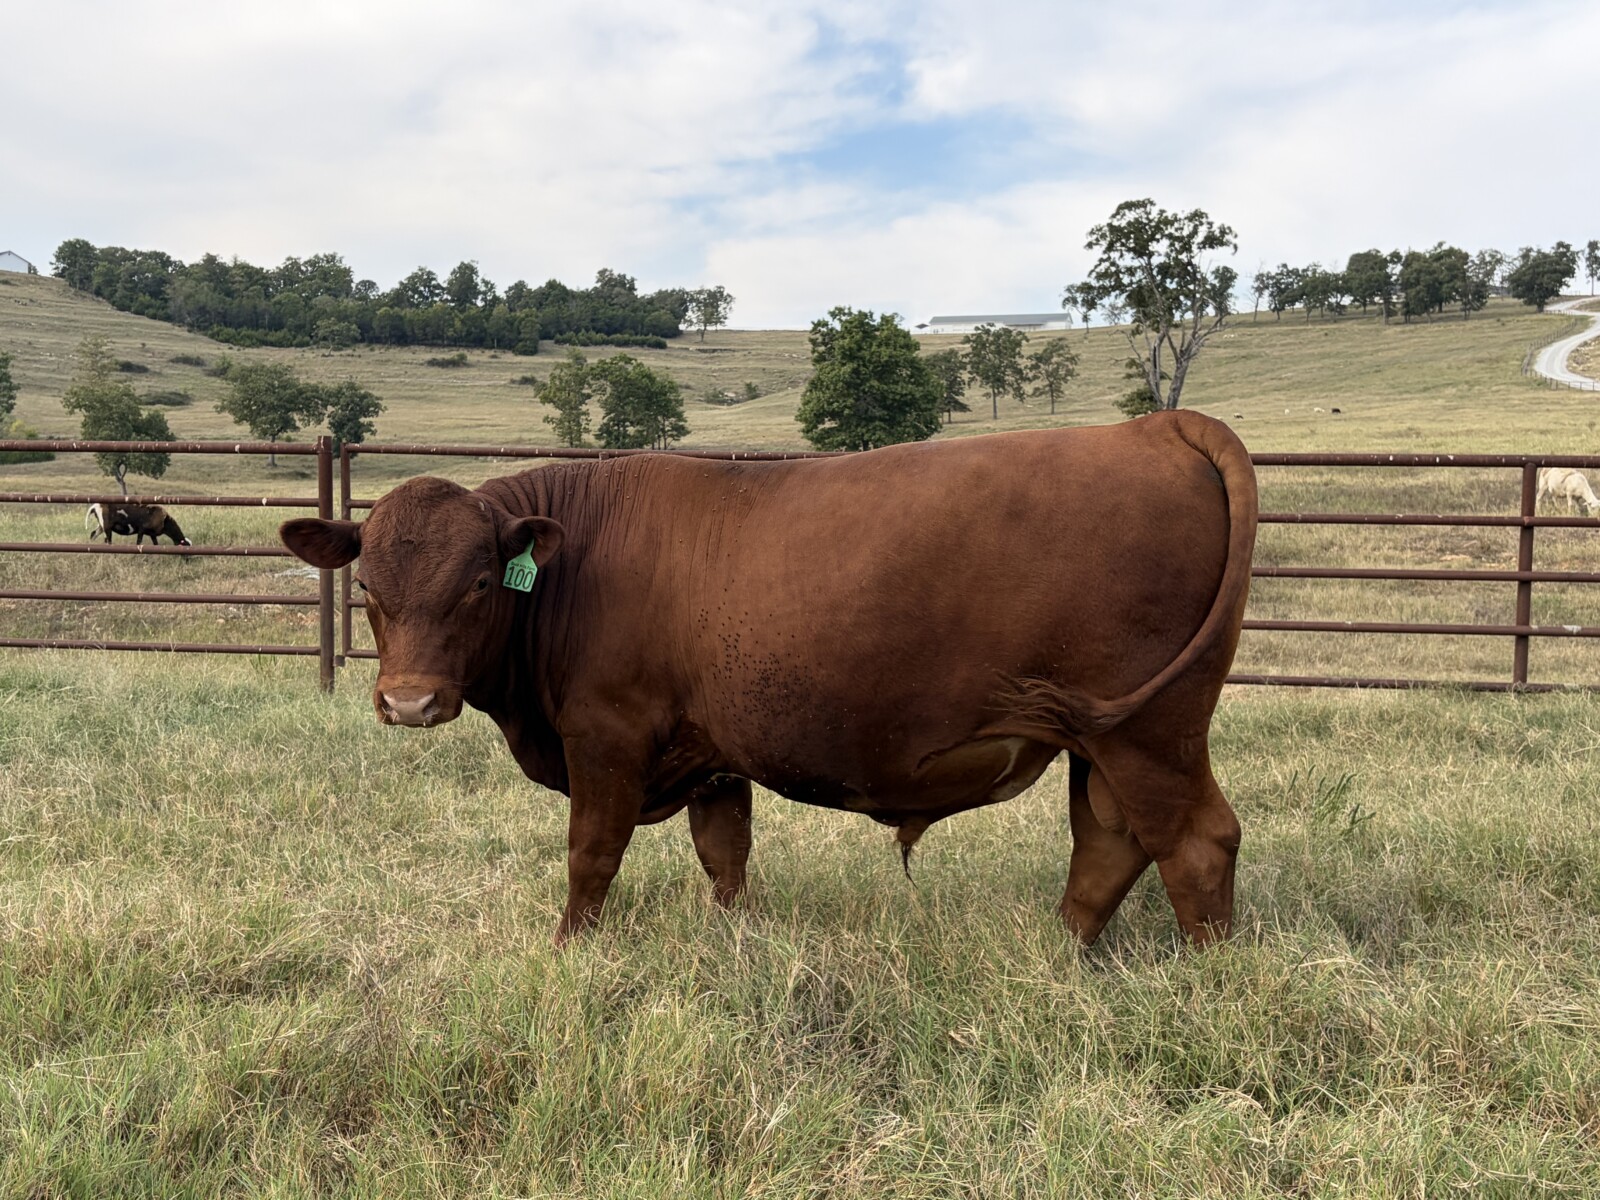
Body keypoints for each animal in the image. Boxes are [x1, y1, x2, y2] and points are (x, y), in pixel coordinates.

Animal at [281, 410, 1259, 946]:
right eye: (366, 588)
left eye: (482, 584)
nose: (410, 702)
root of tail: (1154, 426)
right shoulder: (710, 754)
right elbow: (726, 856)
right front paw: (732, 938)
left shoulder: (606, 736)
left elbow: (590, 854)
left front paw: (568, 949)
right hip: (1100, 738)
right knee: (1109, 844)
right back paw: (1057, 953)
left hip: (1151, 732)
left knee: (1194, 841)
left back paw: (1208, 978)